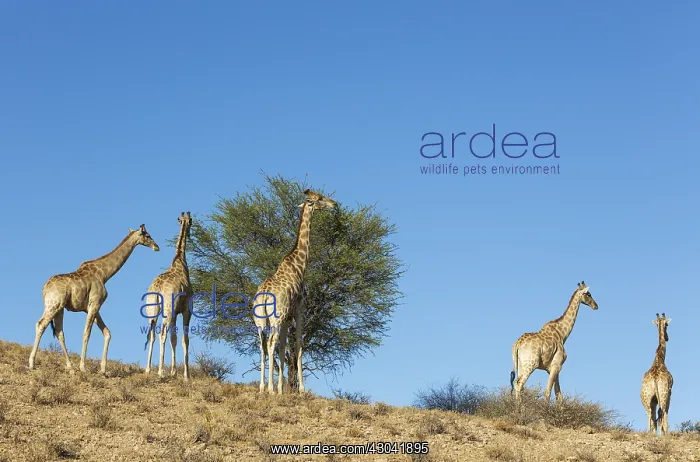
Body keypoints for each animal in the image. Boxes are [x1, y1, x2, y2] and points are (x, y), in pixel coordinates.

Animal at [29, 224, 160, 374]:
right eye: (148, 235)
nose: (157, 247)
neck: (105, 274)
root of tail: (44, 289)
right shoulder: (95, 303)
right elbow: (87, 333)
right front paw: (83, 367)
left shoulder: (91, 307)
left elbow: (107, 333)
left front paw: (103, 370)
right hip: (54, 304)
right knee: (41, 324)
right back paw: (32, 363)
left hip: (60, 308)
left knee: (59, 332)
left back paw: (70, 367)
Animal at [144, 212, 193, 379]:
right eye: (191, 221)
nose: (189, 232)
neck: (180, 262)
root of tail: (157, 288)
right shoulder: (186, 310)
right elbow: (184, 339)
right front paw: (186, 375)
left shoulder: (175, 312)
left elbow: (174, 339)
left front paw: (173, 371)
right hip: (167, 311)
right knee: (162, 334)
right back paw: (160, 371)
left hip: (153, 311)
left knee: (152, 334)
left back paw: (148, 369)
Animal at [254, 189, 337, 394]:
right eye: (320, 198)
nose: (335, 204)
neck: (299, 265)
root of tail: (264, 294)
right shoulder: (300, 310)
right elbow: (298, 346)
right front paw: (300, 389)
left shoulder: (287, 317)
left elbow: (284, 348)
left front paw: (282, 389)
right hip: (276, 317)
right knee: (271, 343)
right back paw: (270, 389)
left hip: (260, 321)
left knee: (262, 346)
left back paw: (262, 387)